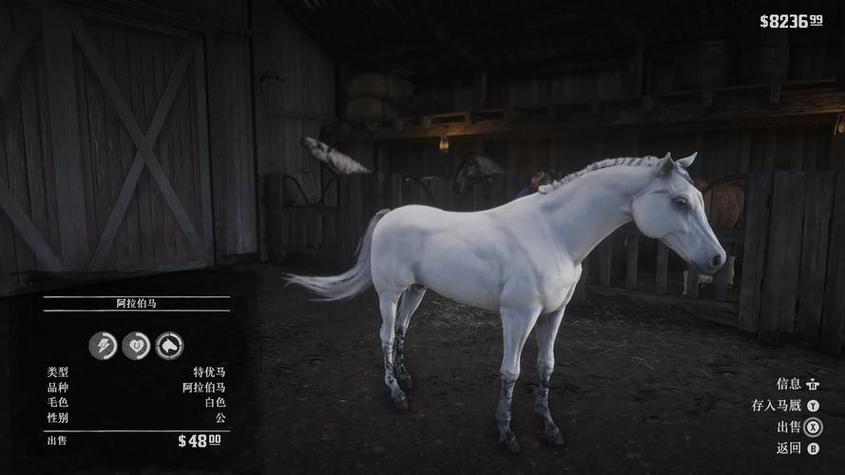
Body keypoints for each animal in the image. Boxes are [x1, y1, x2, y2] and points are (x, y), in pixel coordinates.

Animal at [285, 152, 725, 452]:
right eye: (680, 202)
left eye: (697, 199)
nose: (717, 260)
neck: (554, 234)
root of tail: (391, 213)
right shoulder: (519, 315)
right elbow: (510, 371)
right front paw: (506, 433)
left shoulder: (554, 315)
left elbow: (546, 366)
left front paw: (549, 428)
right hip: (390, 293)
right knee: (386, 336)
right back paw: (396, 394)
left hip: (416, 291)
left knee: (403, 331)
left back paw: (406, 378)